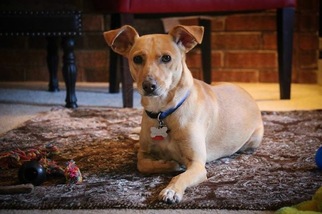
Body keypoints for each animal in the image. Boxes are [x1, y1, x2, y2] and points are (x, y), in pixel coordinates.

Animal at [103, 24, 264, 203]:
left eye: (166, 58)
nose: (148, 86)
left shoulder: (197, 164)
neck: (163, 113)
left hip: (253, 140)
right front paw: (170, 164)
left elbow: (181, 176)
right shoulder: (144, 153)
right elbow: (142, 164)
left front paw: (171, 190)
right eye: (137, 59)